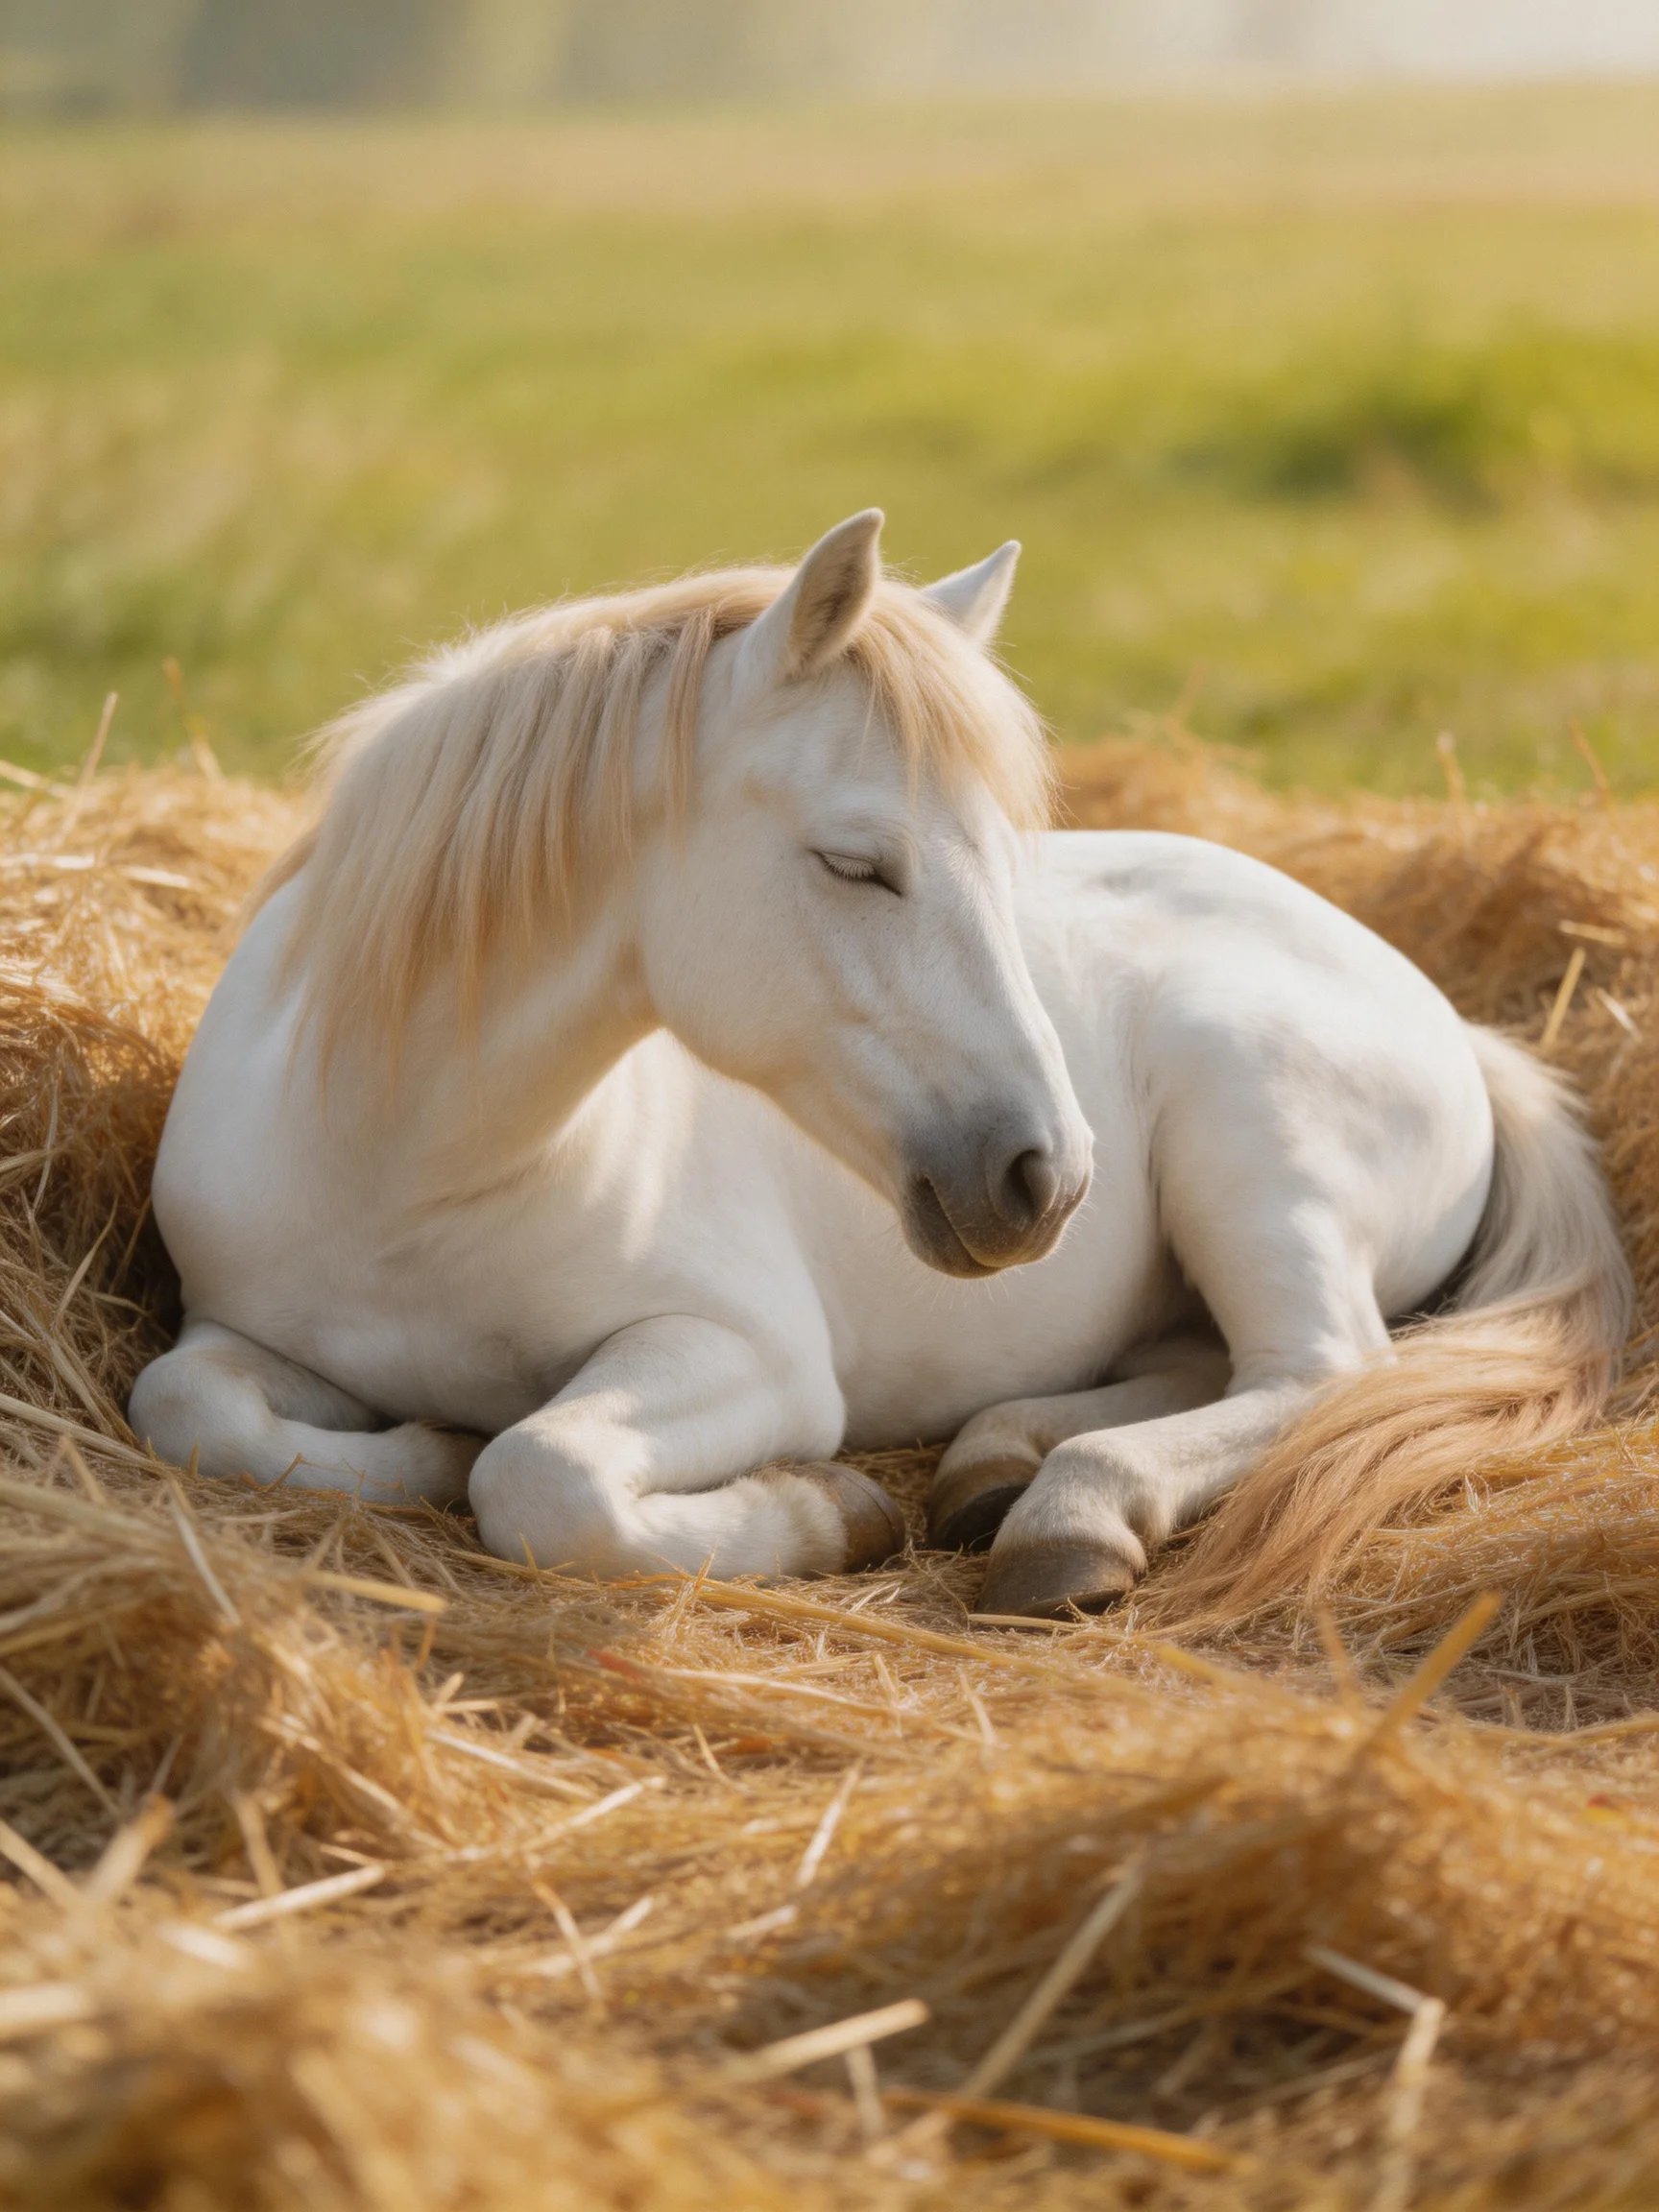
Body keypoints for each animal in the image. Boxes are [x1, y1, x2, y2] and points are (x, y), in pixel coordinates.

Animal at [130, 511, 1631, 1621]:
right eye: (856, 862)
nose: (1045, 1177)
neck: (411, 1169)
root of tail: (1449, 1016)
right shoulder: (237, 1333)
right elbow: (189, 1405)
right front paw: (423, 1444)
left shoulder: (752, 1358)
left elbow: (539, 1470)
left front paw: (824, 1511)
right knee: (1211, 1364)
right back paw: (999, 1461)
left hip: (1248, 1134)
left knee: (1321, 1372)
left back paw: (1074, 1510)